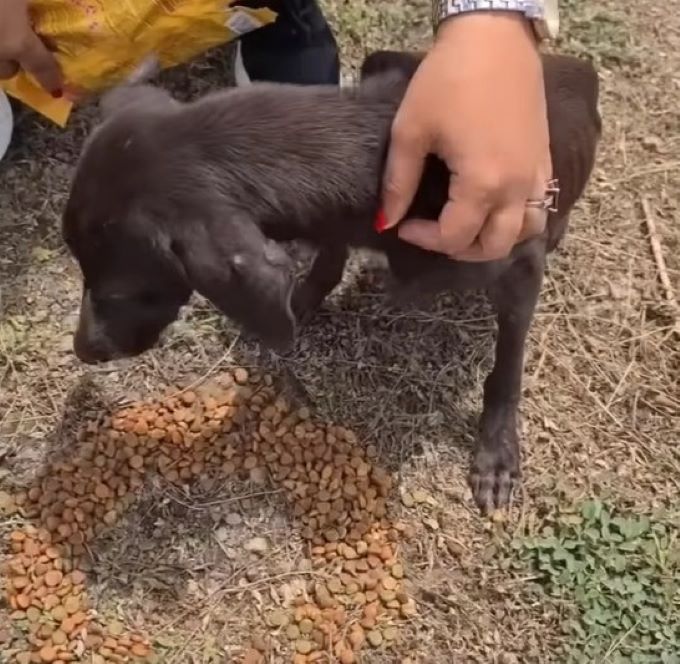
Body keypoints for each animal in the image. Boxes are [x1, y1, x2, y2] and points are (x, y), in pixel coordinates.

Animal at [61, 50, 596, 512]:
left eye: (120, 291)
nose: (82, 351)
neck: (377, 160)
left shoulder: (519, 264)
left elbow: (507, 368)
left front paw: (496, 450)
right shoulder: (334, 220)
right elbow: (328, 253)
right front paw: (306, 298)